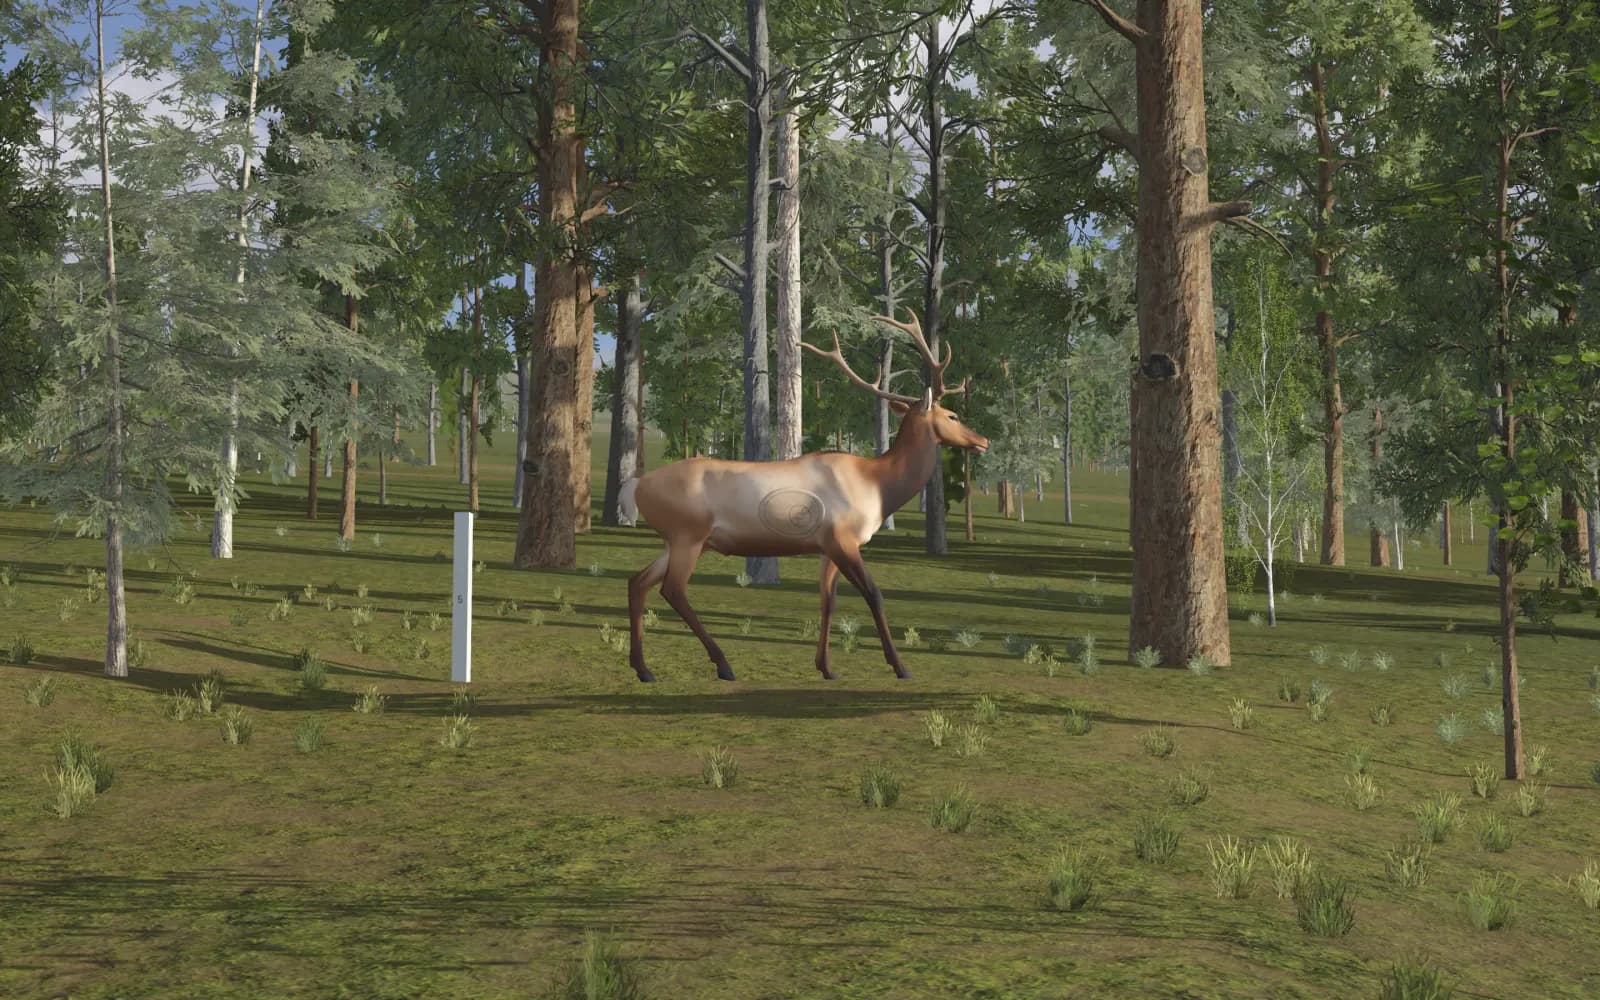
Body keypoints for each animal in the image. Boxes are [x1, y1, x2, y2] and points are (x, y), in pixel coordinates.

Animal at [617, 310, 989, 682]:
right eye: (952, 415)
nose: (983, 440)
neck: (878, 486)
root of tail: (636, 486)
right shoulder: (843, 538)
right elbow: (874, 594)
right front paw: (900, 666)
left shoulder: (828, 545)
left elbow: (828, 600)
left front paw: (826, 667)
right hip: (688, 534)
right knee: (672, 589)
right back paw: (722, 664)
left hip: (678, 539)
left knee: (638, 581)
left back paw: (643, 669)